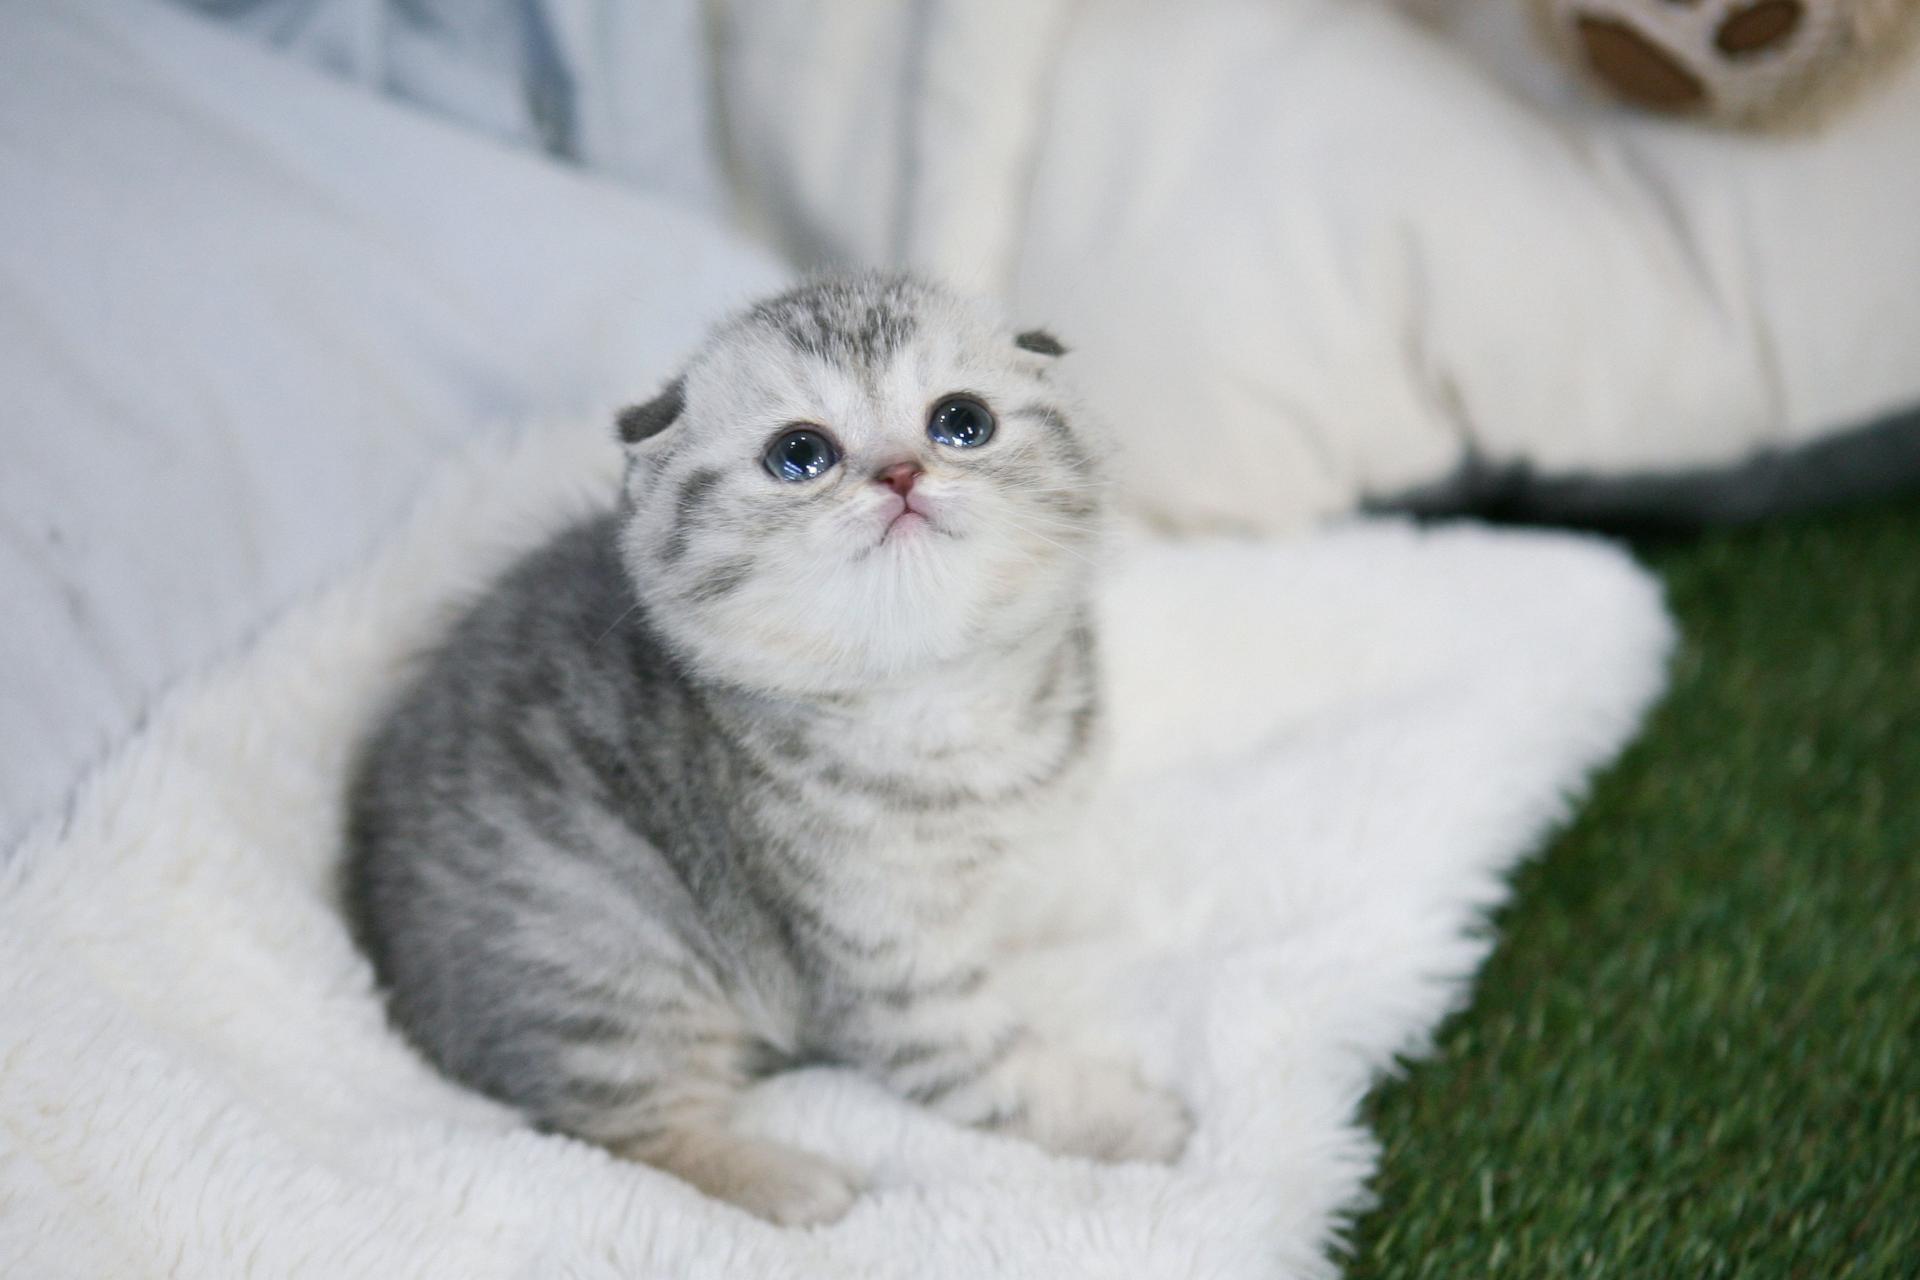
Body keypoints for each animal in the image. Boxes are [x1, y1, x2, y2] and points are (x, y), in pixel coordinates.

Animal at [345, 273, 1190, 1226]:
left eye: (961, 423)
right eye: (800, 454)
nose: (902, 473)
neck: (936, 703)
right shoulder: (887, 965)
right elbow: (996, 1074)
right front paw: (1136, 1121)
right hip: (605, 951)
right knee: (619, 1133)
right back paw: (789, 1181)